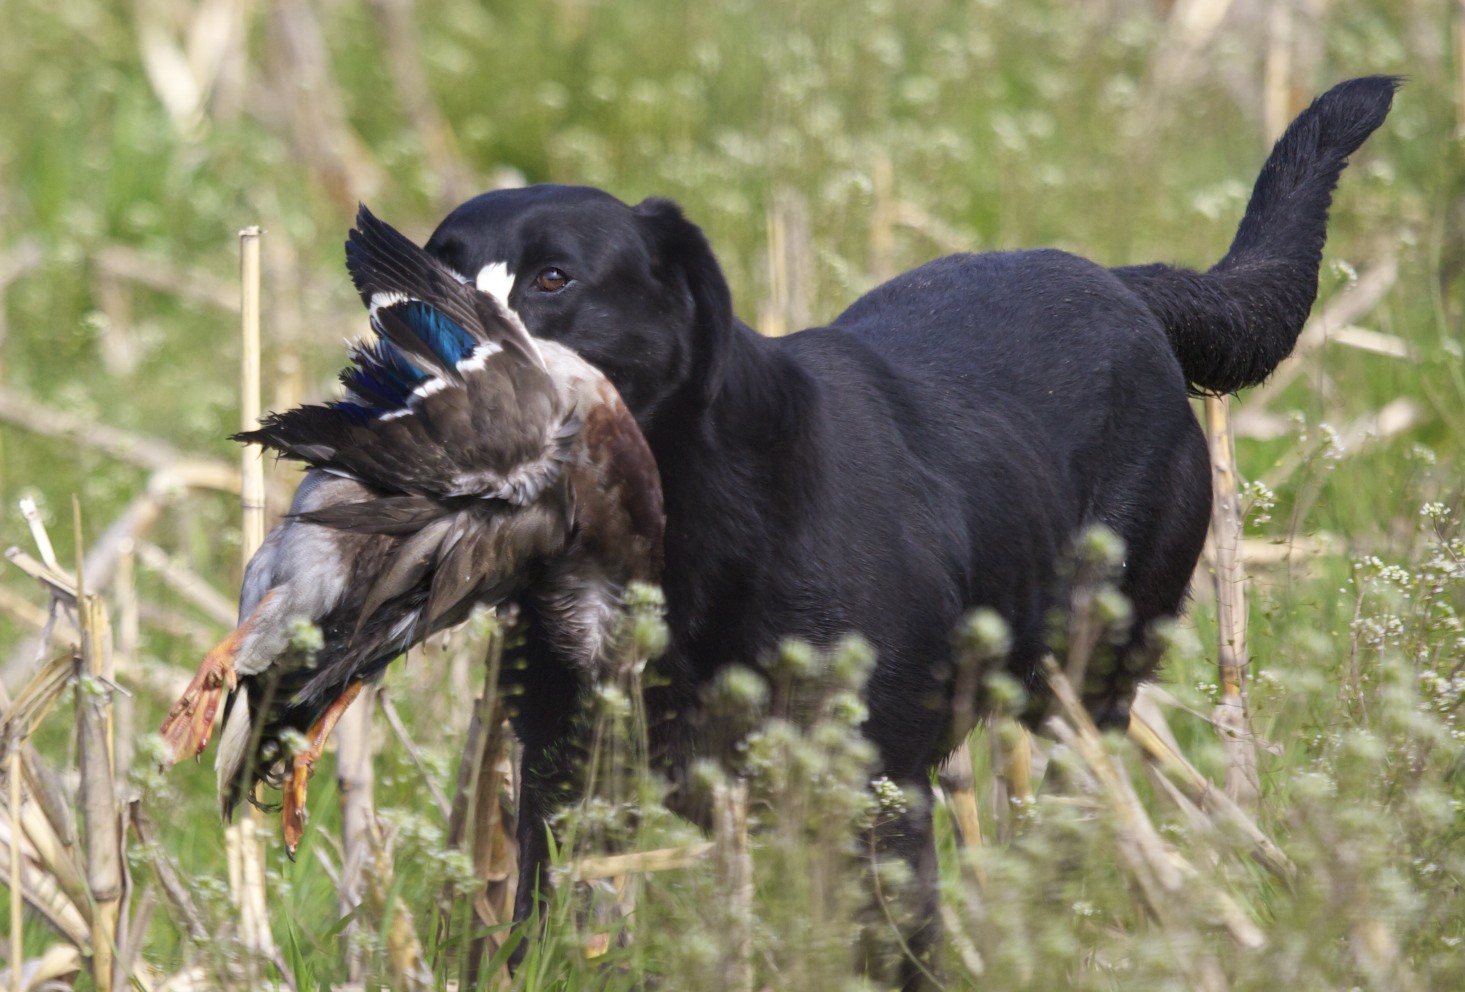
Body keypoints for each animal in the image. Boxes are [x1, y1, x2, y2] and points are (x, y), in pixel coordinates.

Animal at [421, 77, 1394, 972]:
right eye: (429, 262)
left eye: (553, 277)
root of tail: (1127, 286)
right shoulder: (563, 774)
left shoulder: (874, 788)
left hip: (1084, 678)